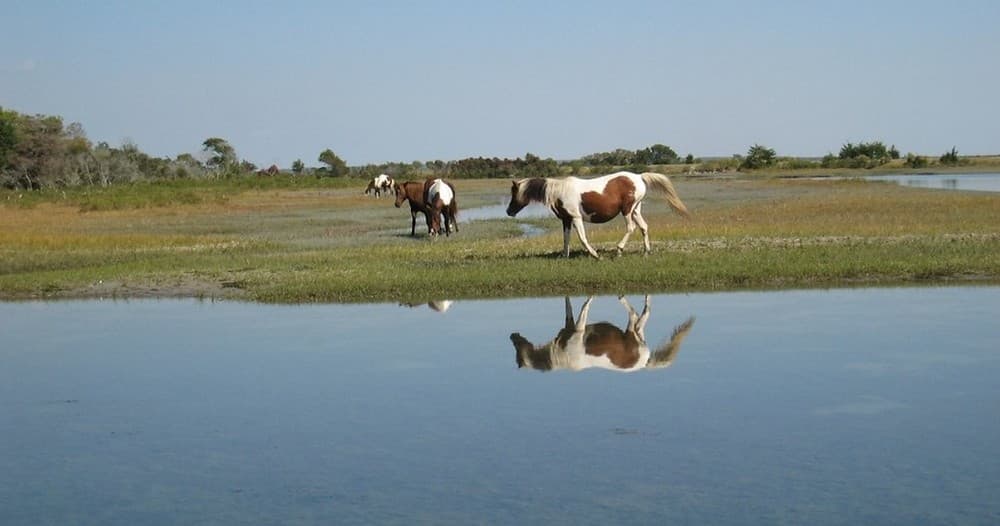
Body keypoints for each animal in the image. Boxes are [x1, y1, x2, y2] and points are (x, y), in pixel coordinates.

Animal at [506, 171, 690, 258]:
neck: (560, 191)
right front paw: (564, 256)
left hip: (627, 210)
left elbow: (582, 238)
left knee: (630, 228)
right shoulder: (566, 220)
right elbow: (566, 238)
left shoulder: (576, 218)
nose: (509, 211)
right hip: (636, 210)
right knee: (644, 227)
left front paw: (595, 255)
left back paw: (619, 250)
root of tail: (639, 177)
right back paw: (646, 252)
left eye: (514, 193)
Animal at [509, 295, 695, 373]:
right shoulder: (571, 325)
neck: (561, 354)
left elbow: (585, 306)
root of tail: (645, 361)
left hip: (632, 332)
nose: (512, 335)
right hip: (635, 333)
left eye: (517, 351)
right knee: (640, 316)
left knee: (637, 314)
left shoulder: (579, 329)